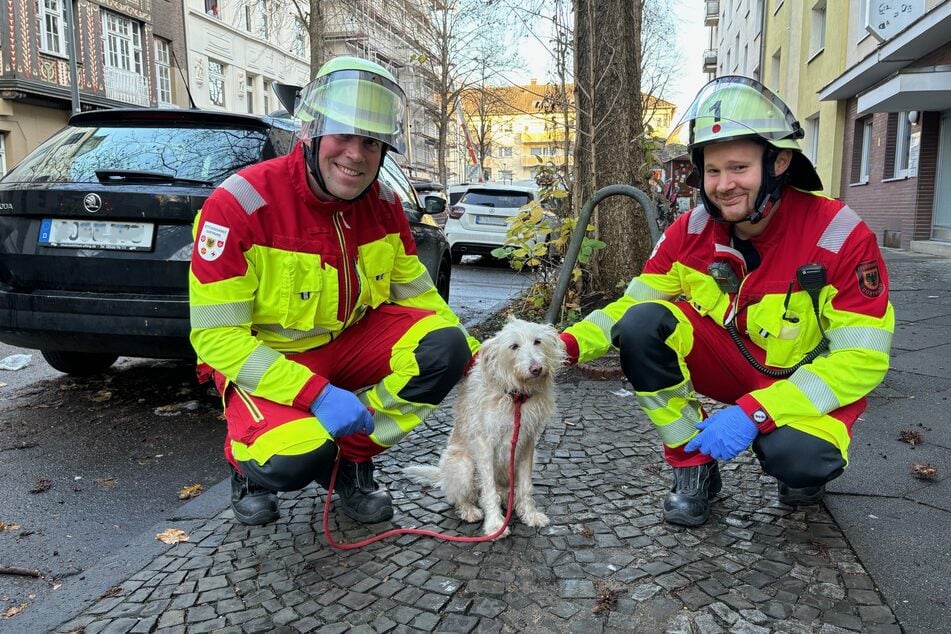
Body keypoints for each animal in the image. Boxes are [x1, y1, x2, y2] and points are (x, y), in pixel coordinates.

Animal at [404, 314, 564, 532]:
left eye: (537, 341)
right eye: (514, 346)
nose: (536, 369)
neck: (515, 398)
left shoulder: (527, 444)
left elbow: (525, 486)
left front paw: (530, 514)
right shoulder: (485, 446)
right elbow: (488, 489)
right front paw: (496, 524)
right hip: (462, 465)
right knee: (460, 497)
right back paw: (470, 510)